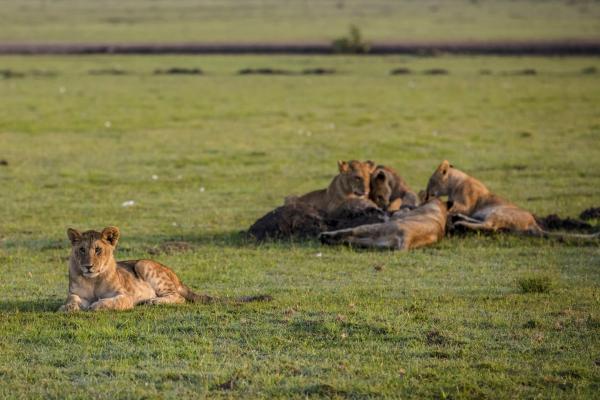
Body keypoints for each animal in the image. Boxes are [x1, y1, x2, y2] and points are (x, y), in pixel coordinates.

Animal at [59, 227, 209, 310]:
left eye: (98, 250)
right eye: (82, 249)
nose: (88, 266)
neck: (93, 280)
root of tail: (175, 276)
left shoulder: (126, 296)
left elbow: (110, 302)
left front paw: (95, 305)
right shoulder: (76, 293)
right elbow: (72, 299)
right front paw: (67, 307)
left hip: (143, 264)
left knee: (179, 297)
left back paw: (153, 301)